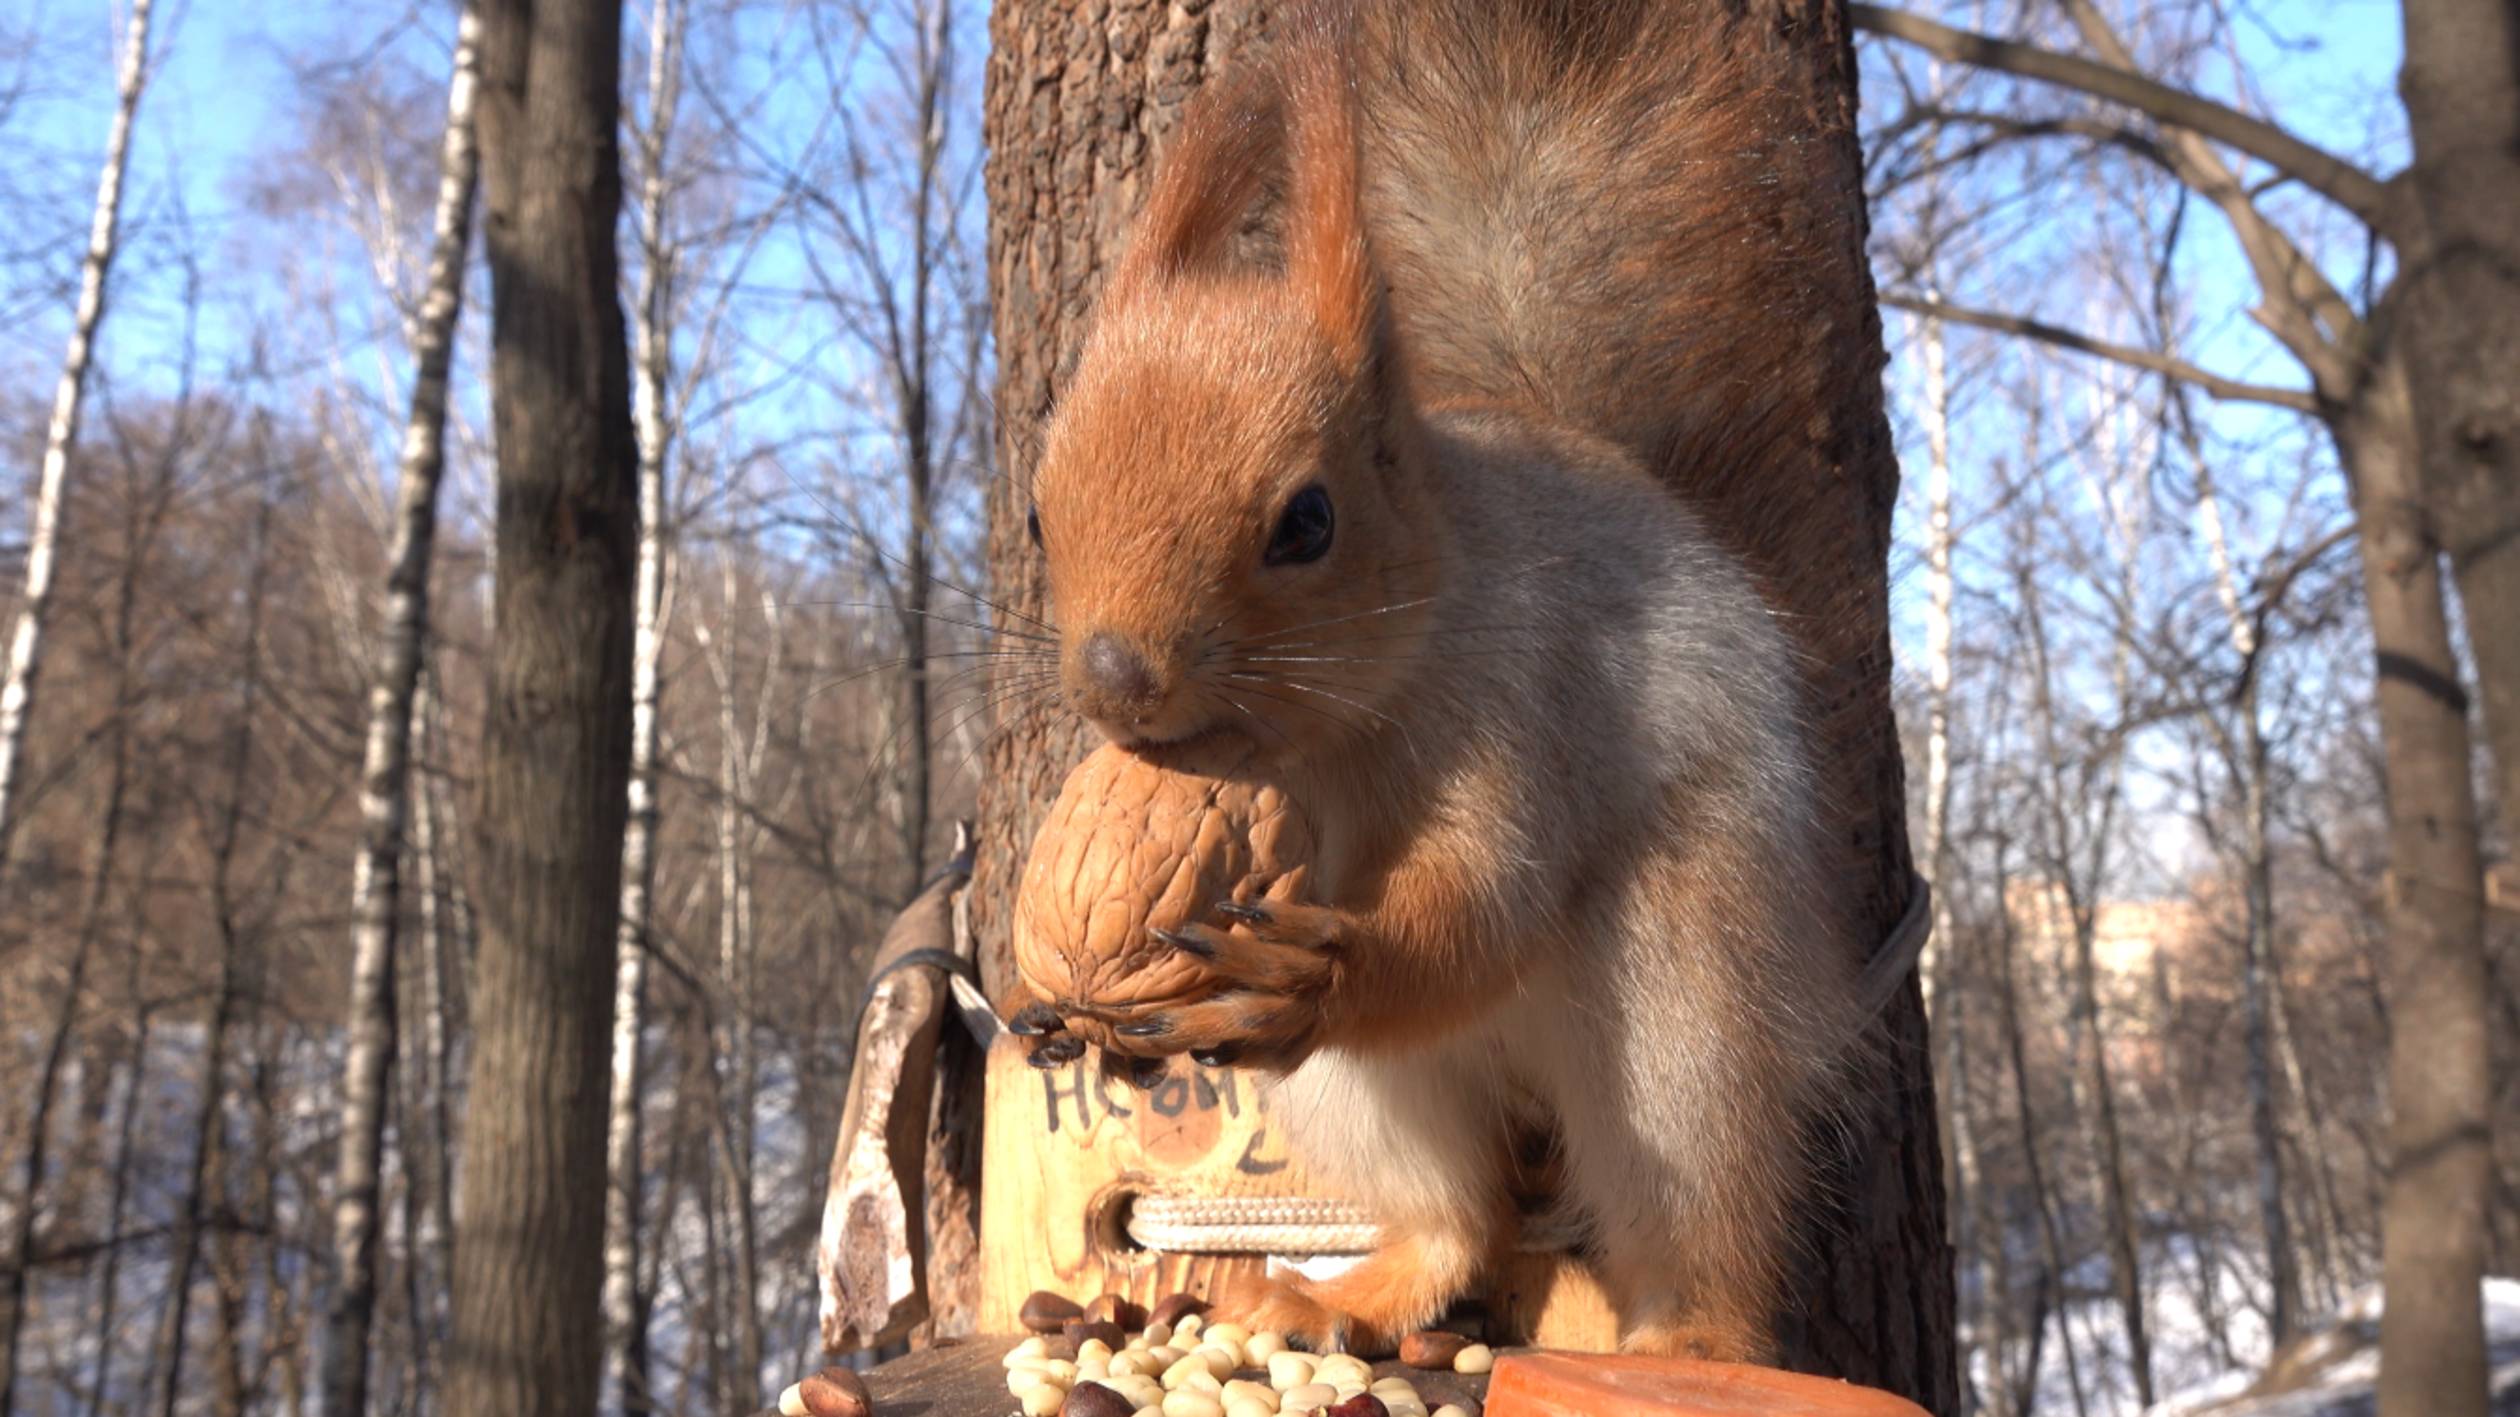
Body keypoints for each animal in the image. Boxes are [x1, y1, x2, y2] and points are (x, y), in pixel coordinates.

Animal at [1013, 2, 1864, 1371]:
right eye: (1040, 514)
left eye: (1308, 521)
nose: (1114, 679)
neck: (1324, 742)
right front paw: (1064, 1014)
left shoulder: (1526, 702)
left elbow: (1486, 898)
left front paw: (1323, 971)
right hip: (1361, 1093)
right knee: (1455, 1218)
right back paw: (1327, 1297)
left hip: (1687, 999)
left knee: (1695, 1198)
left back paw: (1690, 1344)